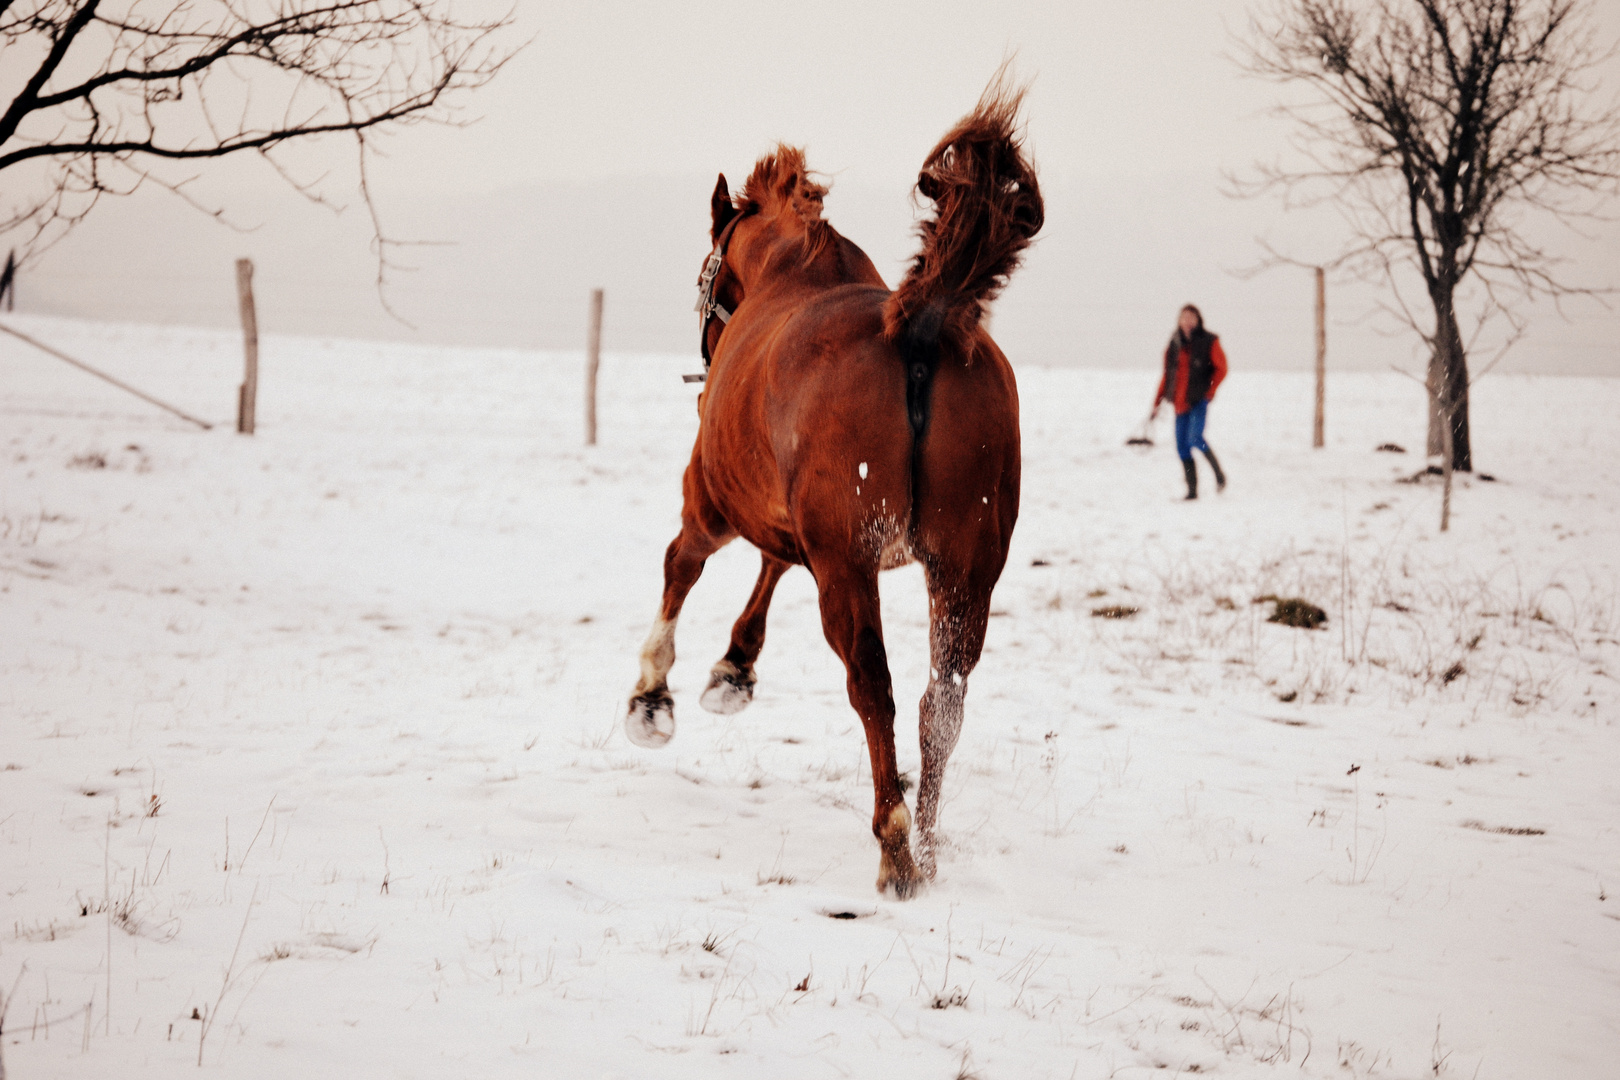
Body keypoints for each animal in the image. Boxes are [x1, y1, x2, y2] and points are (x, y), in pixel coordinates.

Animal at [625, 82, 1043, 893]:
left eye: (704, 274)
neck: (793, 272)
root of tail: (921, 324)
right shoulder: (798, 526)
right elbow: (771, 563)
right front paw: (732, 670)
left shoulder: (714, 497)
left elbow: (680, 564)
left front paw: (653, 699)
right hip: (965, 568)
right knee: (941, 700)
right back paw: (930, 844)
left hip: (851, 565)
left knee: (873, 687)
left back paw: (895, 845)